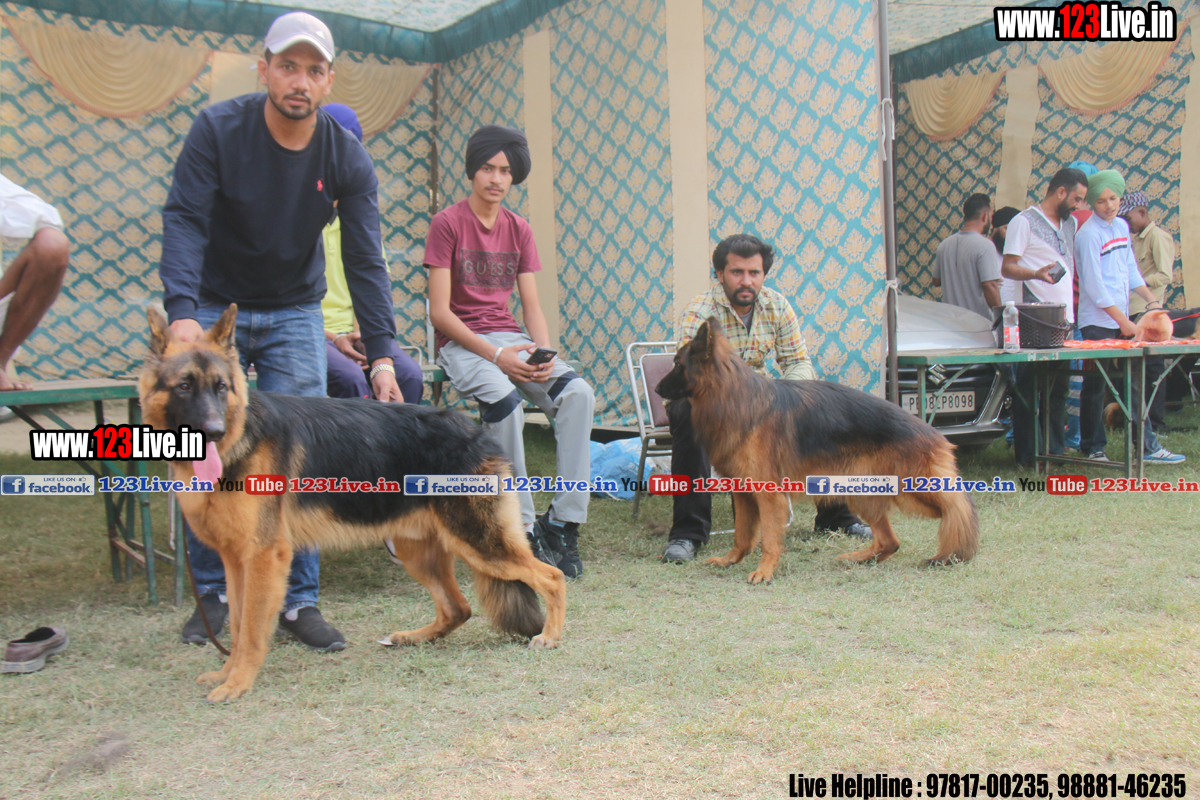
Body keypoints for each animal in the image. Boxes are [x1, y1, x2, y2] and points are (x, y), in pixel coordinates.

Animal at [141, 305, 565, 703]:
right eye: (184, 386)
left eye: (221, 387)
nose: (214, 431)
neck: (242, 435)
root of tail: (479, 433)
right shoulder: (235, 560)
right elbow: (236, 622)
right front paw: (227, 673)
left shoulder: (262, 558)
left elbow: (250, 631)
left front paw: (237, 682)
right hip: (419, 552)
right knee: (457, 607)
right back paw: (417, 637)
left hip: (478, 542)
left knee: (551, 577)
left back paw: (550, 636)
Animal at [655, 318, 978, 583]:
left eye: (677, 364)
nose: (657, 390)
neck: (735, 398)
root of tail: (933, 433)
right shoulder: (743, 491)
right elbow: (742, 536)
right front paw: (730, 561)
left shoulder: (767, 495)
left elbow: (768, 539)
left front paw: (764, 571)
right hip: (862, 492)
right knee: (890, 541)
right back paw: (857, 559)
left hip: (910, 489)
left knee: (955, 506)